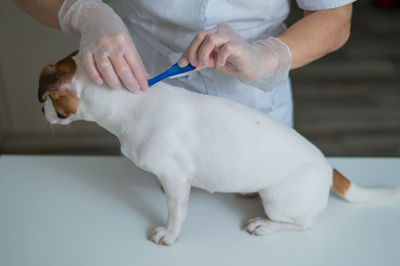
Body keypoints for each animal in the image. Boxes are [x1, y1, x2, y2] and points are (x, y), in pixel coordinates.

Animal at [38, 51, 400, 246]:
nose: (41, 112)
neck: (128, 102)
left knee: (304, 225)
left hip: (280, 202)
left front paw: (169, 235)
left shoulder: (176, 177)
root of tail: (329, 167)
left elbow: (176, 211)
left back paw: (264, 225)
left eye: (48, 100)